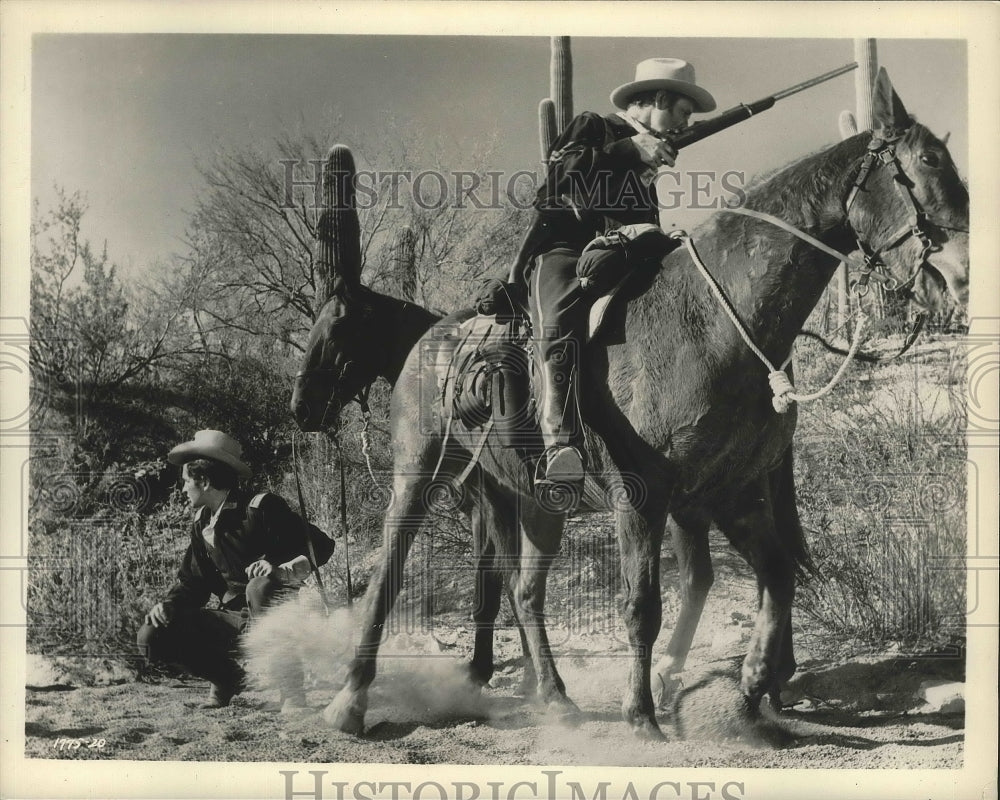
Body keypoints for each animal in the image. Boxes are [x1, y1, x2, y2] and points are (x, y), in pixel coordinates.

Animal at [292, 75, 968, 736]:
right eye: (927, 162)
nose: (959, 279)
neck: (715, 319)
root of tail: (431, 342)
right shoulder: (641, 493)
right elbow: (641, 604)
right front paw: (641, 716)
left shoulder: (732, 492)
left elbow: (776, 577)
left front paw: (751, 689)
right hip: (421, 476)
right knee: (388, 576)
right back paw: (349, 701)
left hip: (540, 500)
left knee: (528, 592)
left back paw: (558, 698)